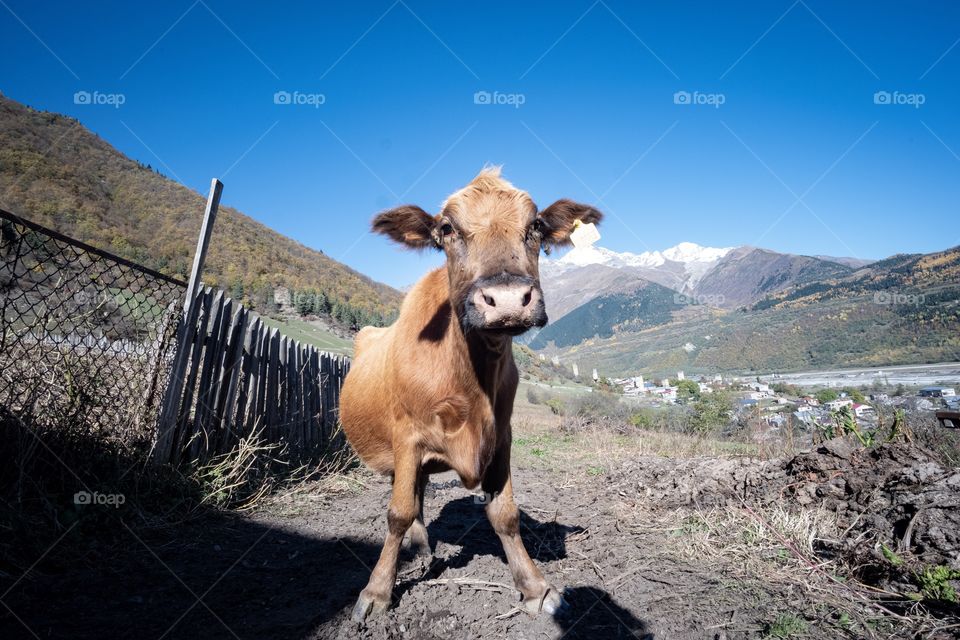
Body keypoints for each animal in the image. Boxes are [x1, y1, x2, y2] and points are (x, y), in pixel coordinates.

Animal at [339, 167, 602, 622]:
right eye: (447, 229)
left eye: (536, 225)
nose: (509, 300)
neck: (471, 379)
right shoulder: (407, 437)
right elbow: (396, 513)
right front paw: (377, 591)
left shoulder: (503, 436)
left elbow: (505, 514)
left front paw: (535, 587)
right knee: (409, 498)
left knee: (421, 492)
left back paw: (423, 545)